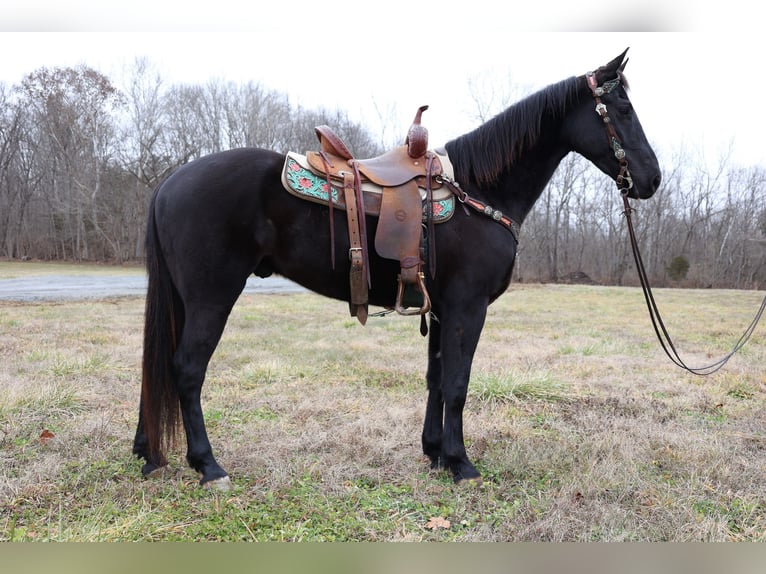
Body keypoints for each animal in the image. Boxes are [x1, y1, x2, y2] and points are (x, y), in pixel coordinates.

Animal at [130, 49, 660, 490]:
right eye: (623, 110)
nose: (652, 179)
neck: (479, 192)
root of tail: (170, 183)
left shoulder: (443, 309)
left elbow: (436, 378)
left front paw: (435, 453)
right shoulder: (468, 308)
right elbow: (458, 384)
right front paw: (461, 464)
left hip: (184, 300)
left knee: (157, 368)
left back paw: (149, 454)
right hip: (211, 296)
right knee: (187, 369)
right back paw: (208, 465)